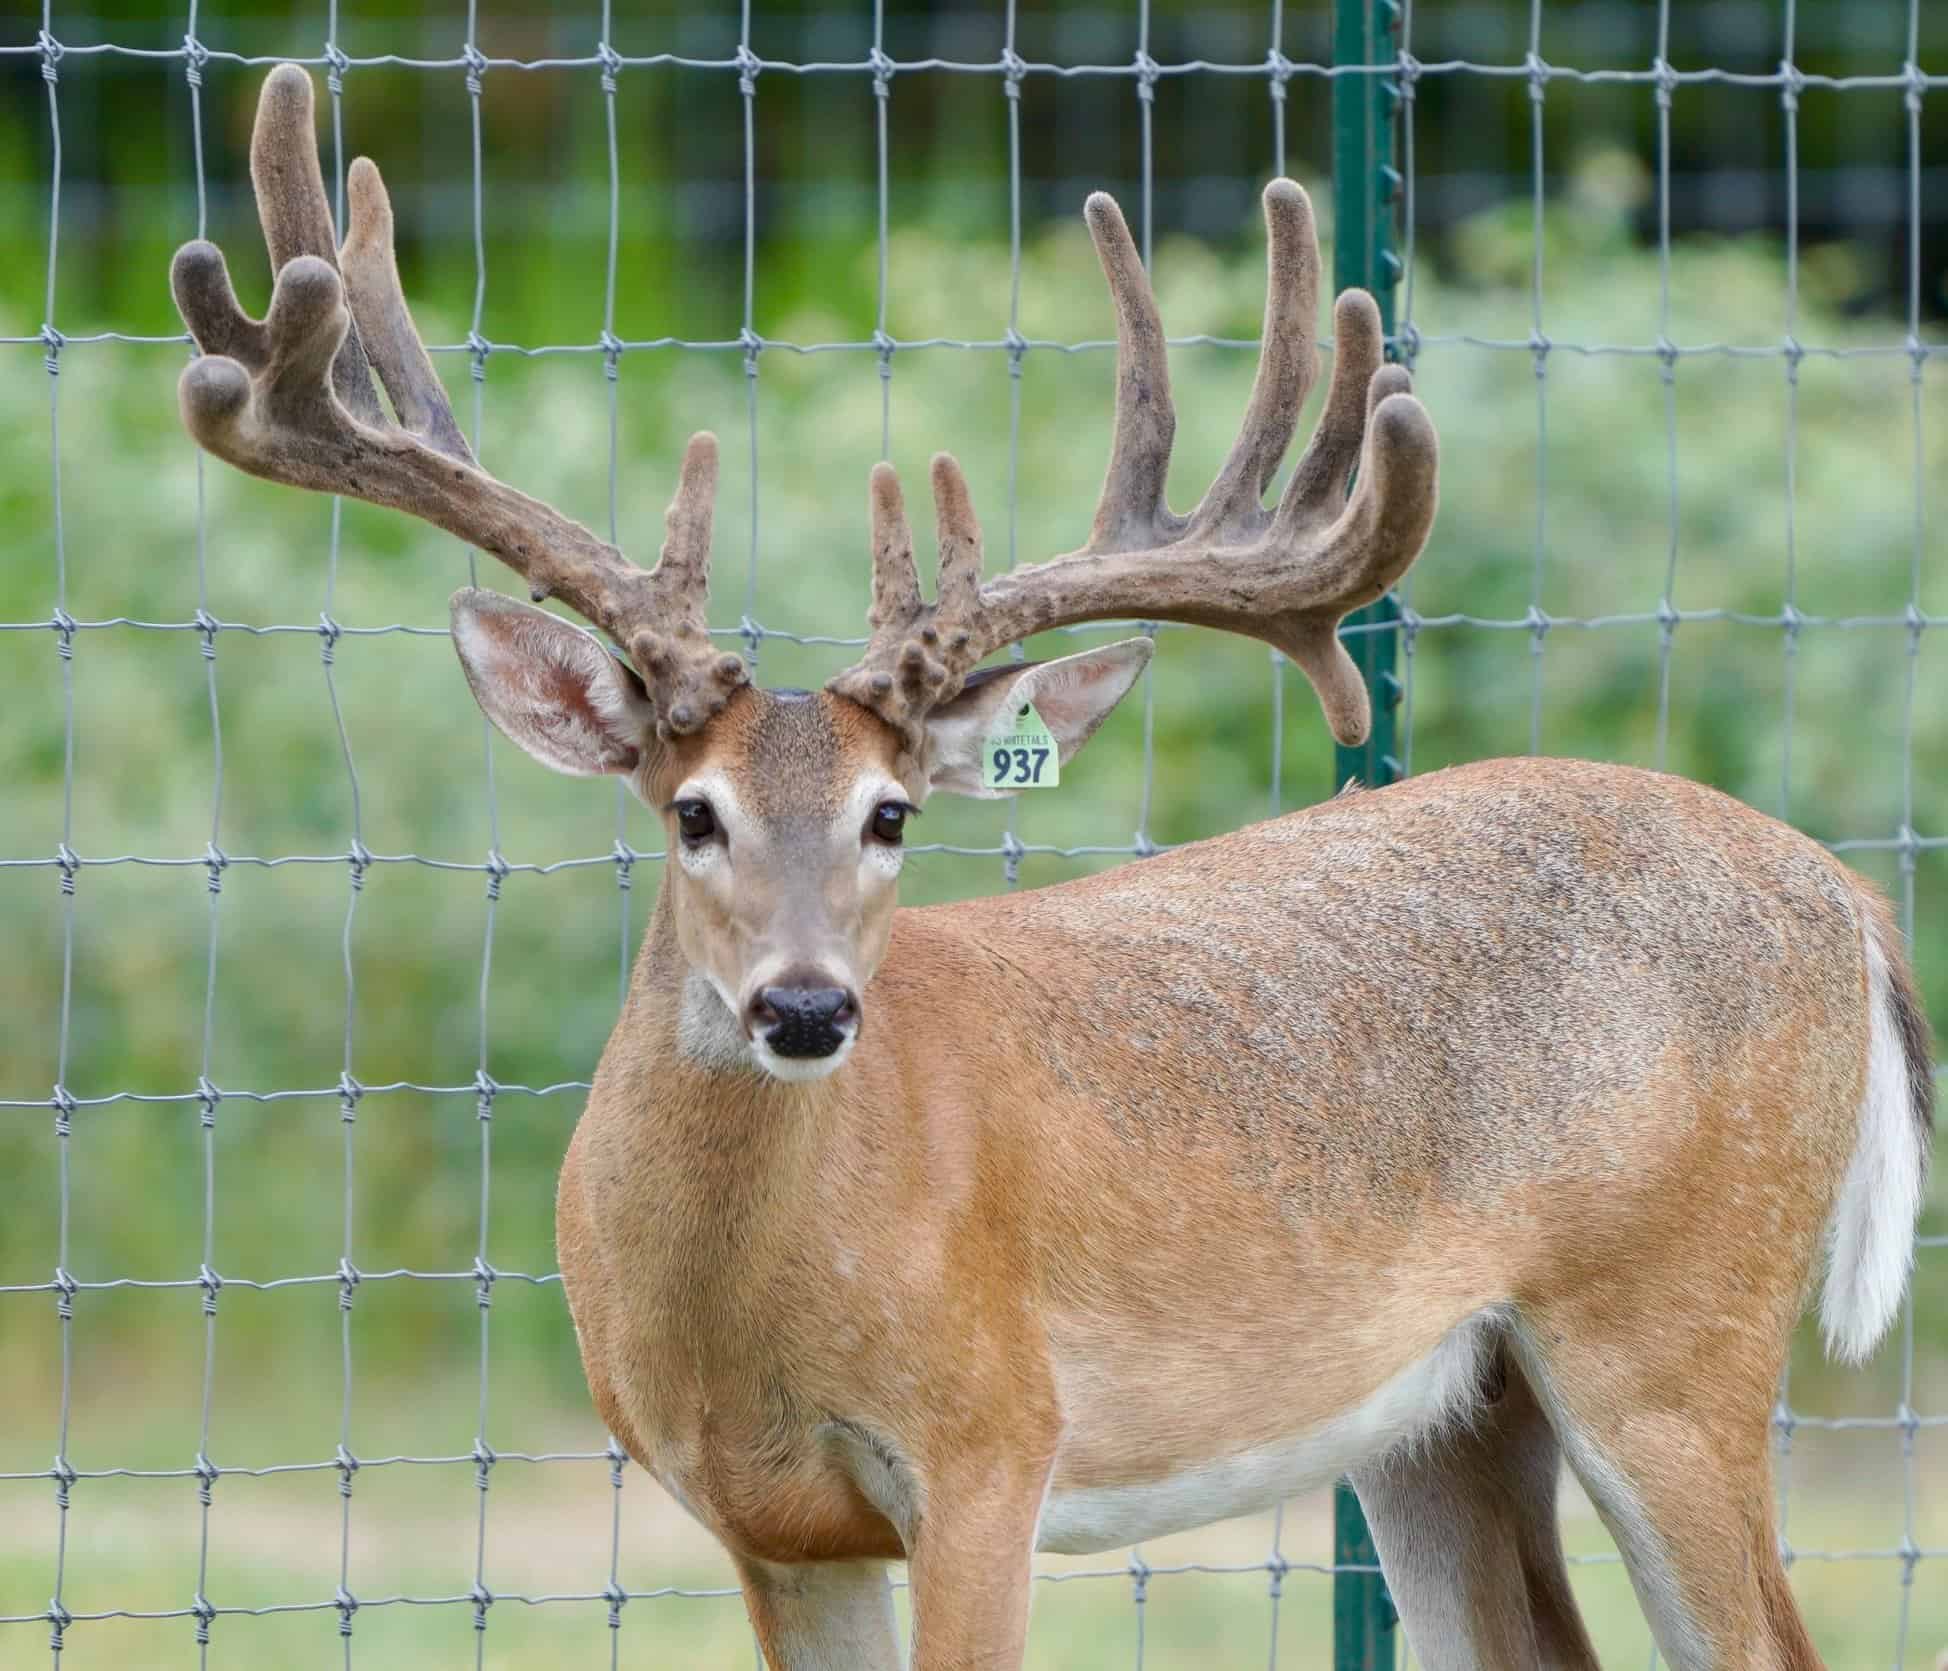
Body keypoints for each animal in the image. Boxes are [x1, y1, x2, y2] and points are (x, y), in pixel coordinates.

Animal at [168, 64, 1932, 1671]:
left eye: (893, 814)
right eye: (693, 812)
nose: (804, 1007)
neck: (751, 1300)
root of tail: (1845, 895)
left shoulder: (989, 1443)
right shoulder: (776, 1526)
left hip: (1674, 1320)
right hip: (1448, 1405)